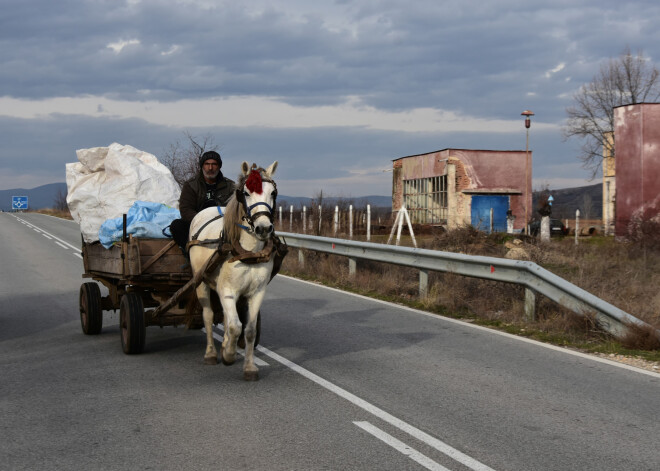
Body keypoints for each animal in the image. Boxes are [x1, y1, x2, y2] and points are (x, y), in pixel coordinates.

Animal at [187, 160, 280, 382]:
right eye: (245, 193)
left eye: (273, 193)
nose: (264, 228)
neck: (248, 252)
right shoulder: (227, 291)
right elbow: (235, 326)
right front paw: (228, 355)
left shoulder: (256, 293)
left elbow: (249, 330)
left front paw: (250, 367)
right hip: (202, 283)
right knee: (209, 316)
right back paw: (212, 353)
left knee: (227, 318)